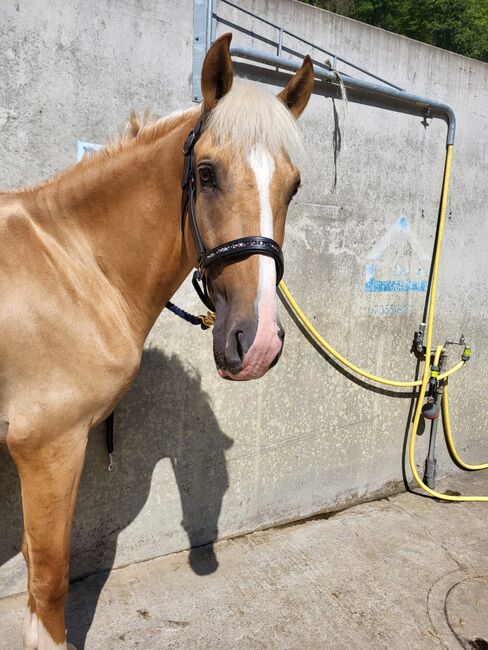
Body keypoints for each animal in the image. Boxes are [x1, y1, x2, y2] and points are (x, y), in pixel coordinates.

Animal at [0, 35, 312, 648]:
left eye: (293, 186)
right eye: (207, 174)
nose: (259, 341)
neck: (72, 264)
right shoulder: (46, 447)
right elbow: (48, 580)